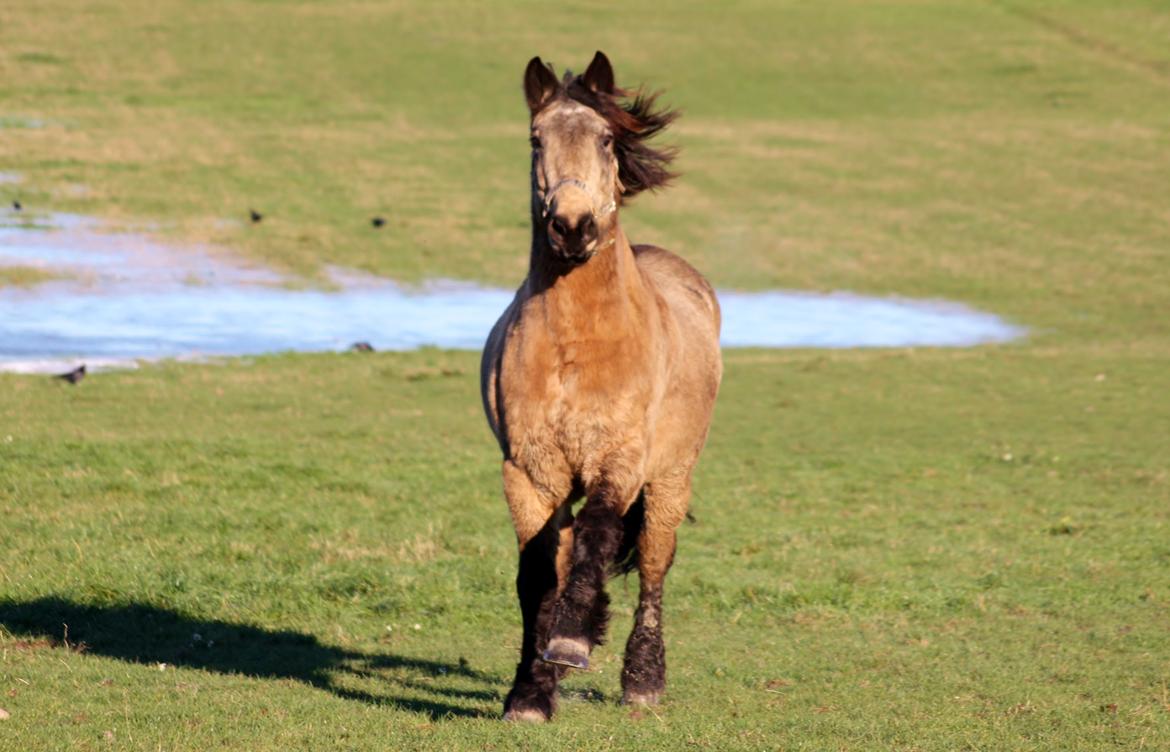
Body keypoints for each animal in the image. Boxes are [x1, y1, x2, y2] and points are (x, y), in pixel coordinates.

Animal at [477, 49, 720, 720]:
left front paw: (569, 641)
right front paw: (531, 692)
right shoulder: (529, 472)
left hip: (671, 479)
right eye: (536, 139)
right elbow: (538, 575)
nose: (572, 225)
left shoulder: (621, 462)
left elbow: (598, 538)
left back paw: (643, 680)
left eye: (607, 139)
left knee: (655, 564)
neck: (578, 349)